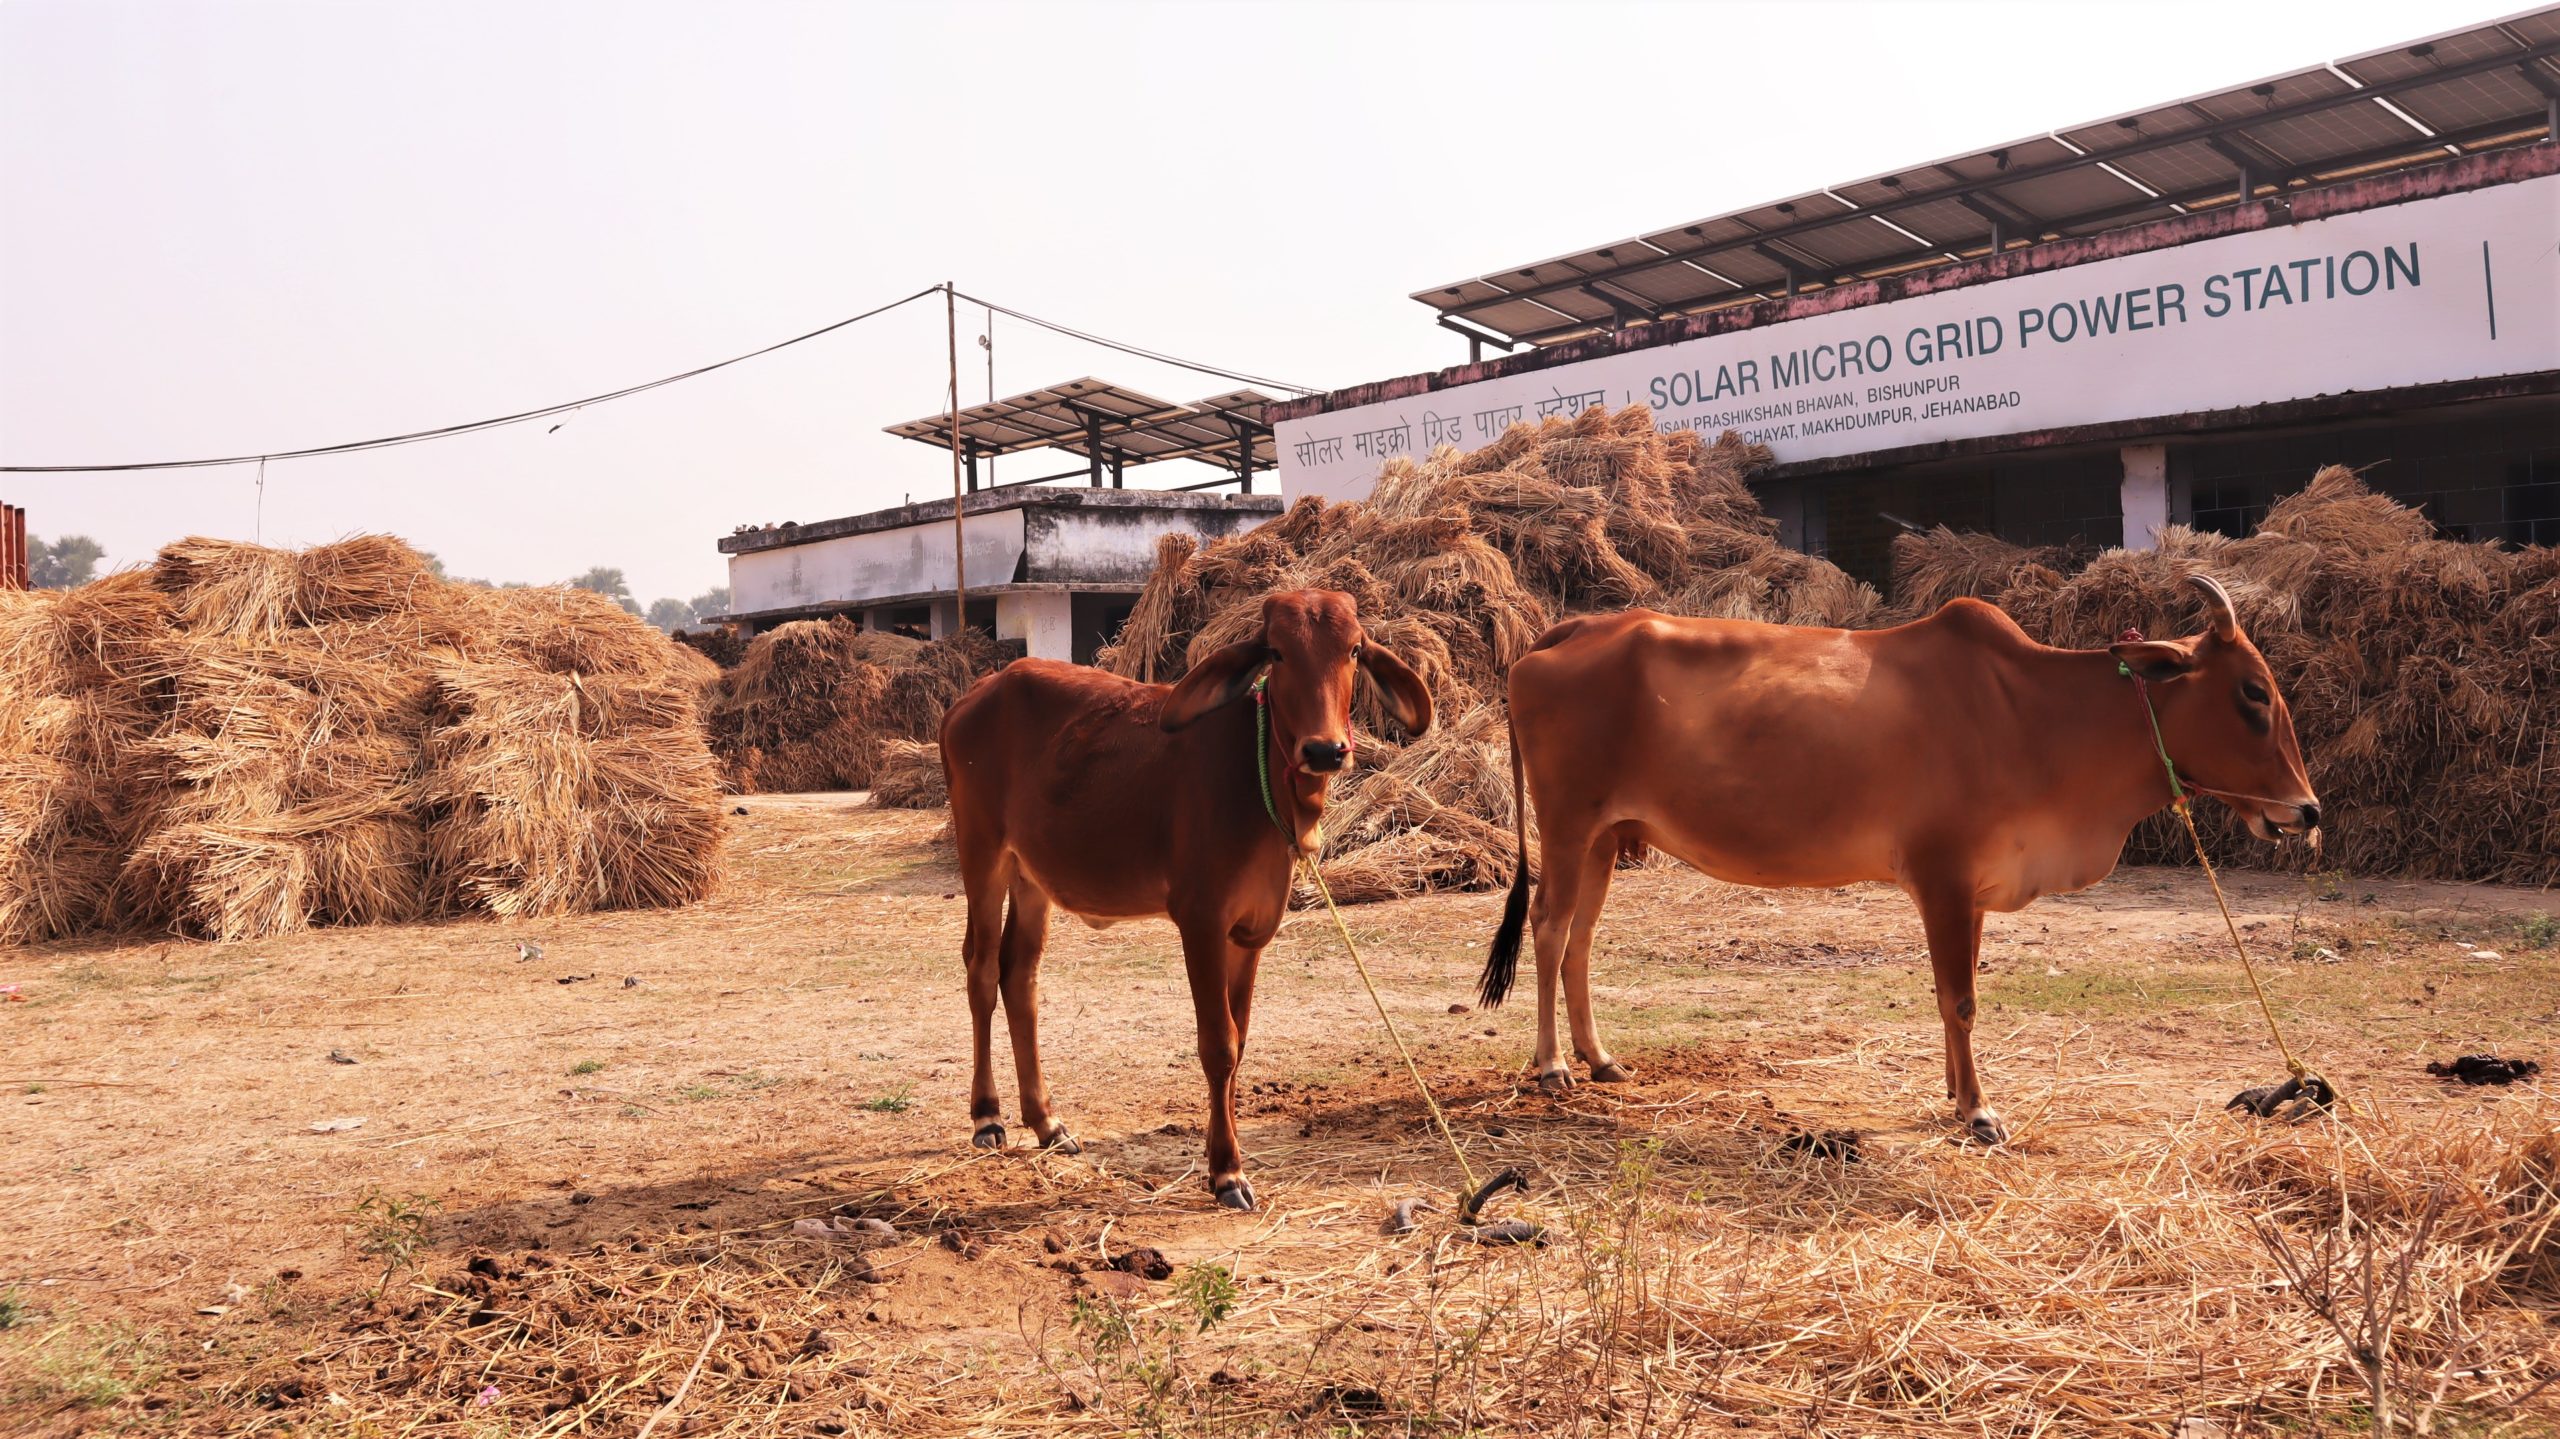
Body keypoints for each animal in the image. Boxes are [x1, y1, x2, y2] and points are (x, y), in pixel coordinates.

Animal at [936, 588, 1433, 1203]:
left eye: (1355, 650)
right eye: (1277, 651)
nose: (1324, 750)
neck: (1259, 780)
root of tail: (971, 697)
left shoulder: (1252, 932)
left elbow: (1240, 1042)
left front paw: (1225, 1152)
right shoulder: (1200, 920)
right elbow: (1218, 1044)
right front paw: (1226, 1171)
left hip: (1031, 878)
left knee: (1019, 975)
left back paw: (1047, 1121)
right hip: (982, 855)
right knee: (982, 970)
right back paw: (988, 1115)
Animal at [1484, 573, 2324, 1141]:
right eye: (2253, 691)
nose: (2308, 810)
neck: (2033, 713)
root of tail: (1569, 631)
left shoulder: (1972, 888)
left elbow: (1955, 995)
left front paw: (1956, 1094)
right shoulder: (1943, 876)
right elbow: (1961, 998)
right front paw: (1979, 1110)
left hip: (1603, 837)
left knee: (1581, 938)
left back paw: (1601, 1058)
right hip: (1568, 824)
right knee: (1550, 929)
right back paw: (1553, 1066)